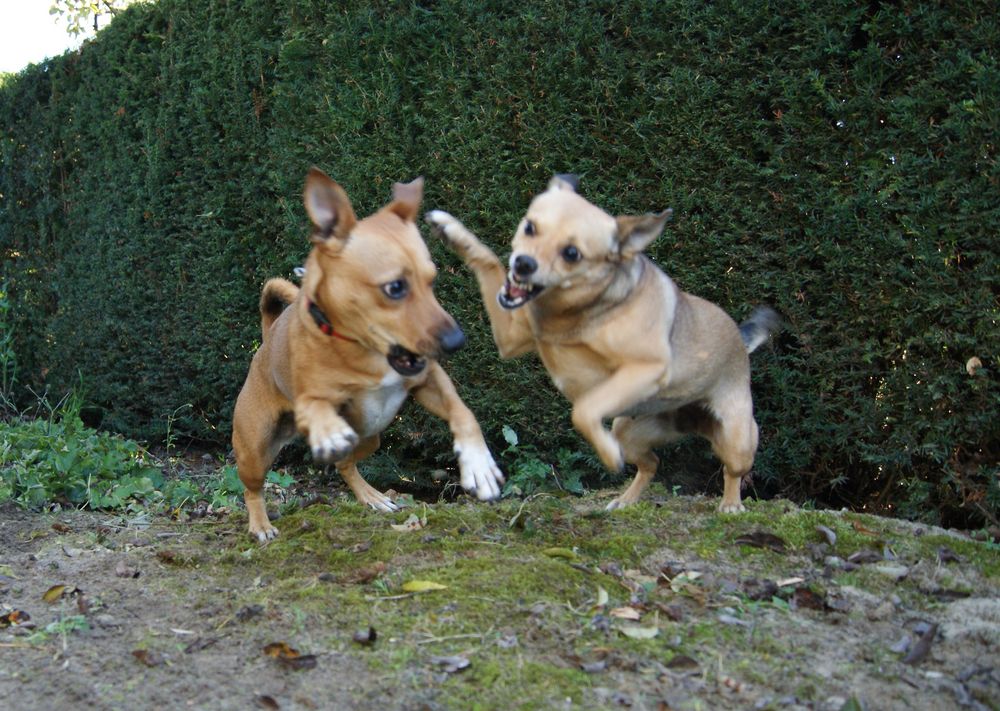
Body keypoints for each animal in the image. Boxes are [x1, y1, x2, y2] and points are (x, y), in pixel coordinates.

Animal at [231, 170, 504, 544]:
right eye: (395, 287)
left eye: (432, 281)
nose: (456, 341)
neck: (366, 351)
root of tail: (268, 335)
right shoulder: (312, 399)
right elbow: (317, 405)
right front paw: (328, 429)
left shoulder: (429, 380)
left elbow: (463, 413)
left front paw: (478, 464)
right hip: (255, 452)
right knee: (252, 489)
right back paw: (260, 523)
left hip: (370, 439)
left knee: (346, 464)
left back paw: (371, 497)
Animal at [426, 177, 776, 512]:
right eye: (530, 227)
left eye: (572, 254)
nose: (523, 264)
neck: (569, 312)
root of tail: (740, 338)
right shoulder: (509, 338)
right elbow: (487, 260)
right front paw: (454, 232)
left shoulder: (646, 368)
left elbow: (583, 411)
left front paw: (607, 454)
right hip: (631, 432)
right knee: (651, 463)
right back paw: (626, 500)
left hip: (736, 440)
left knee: (733, 472)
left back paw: (730, 504)